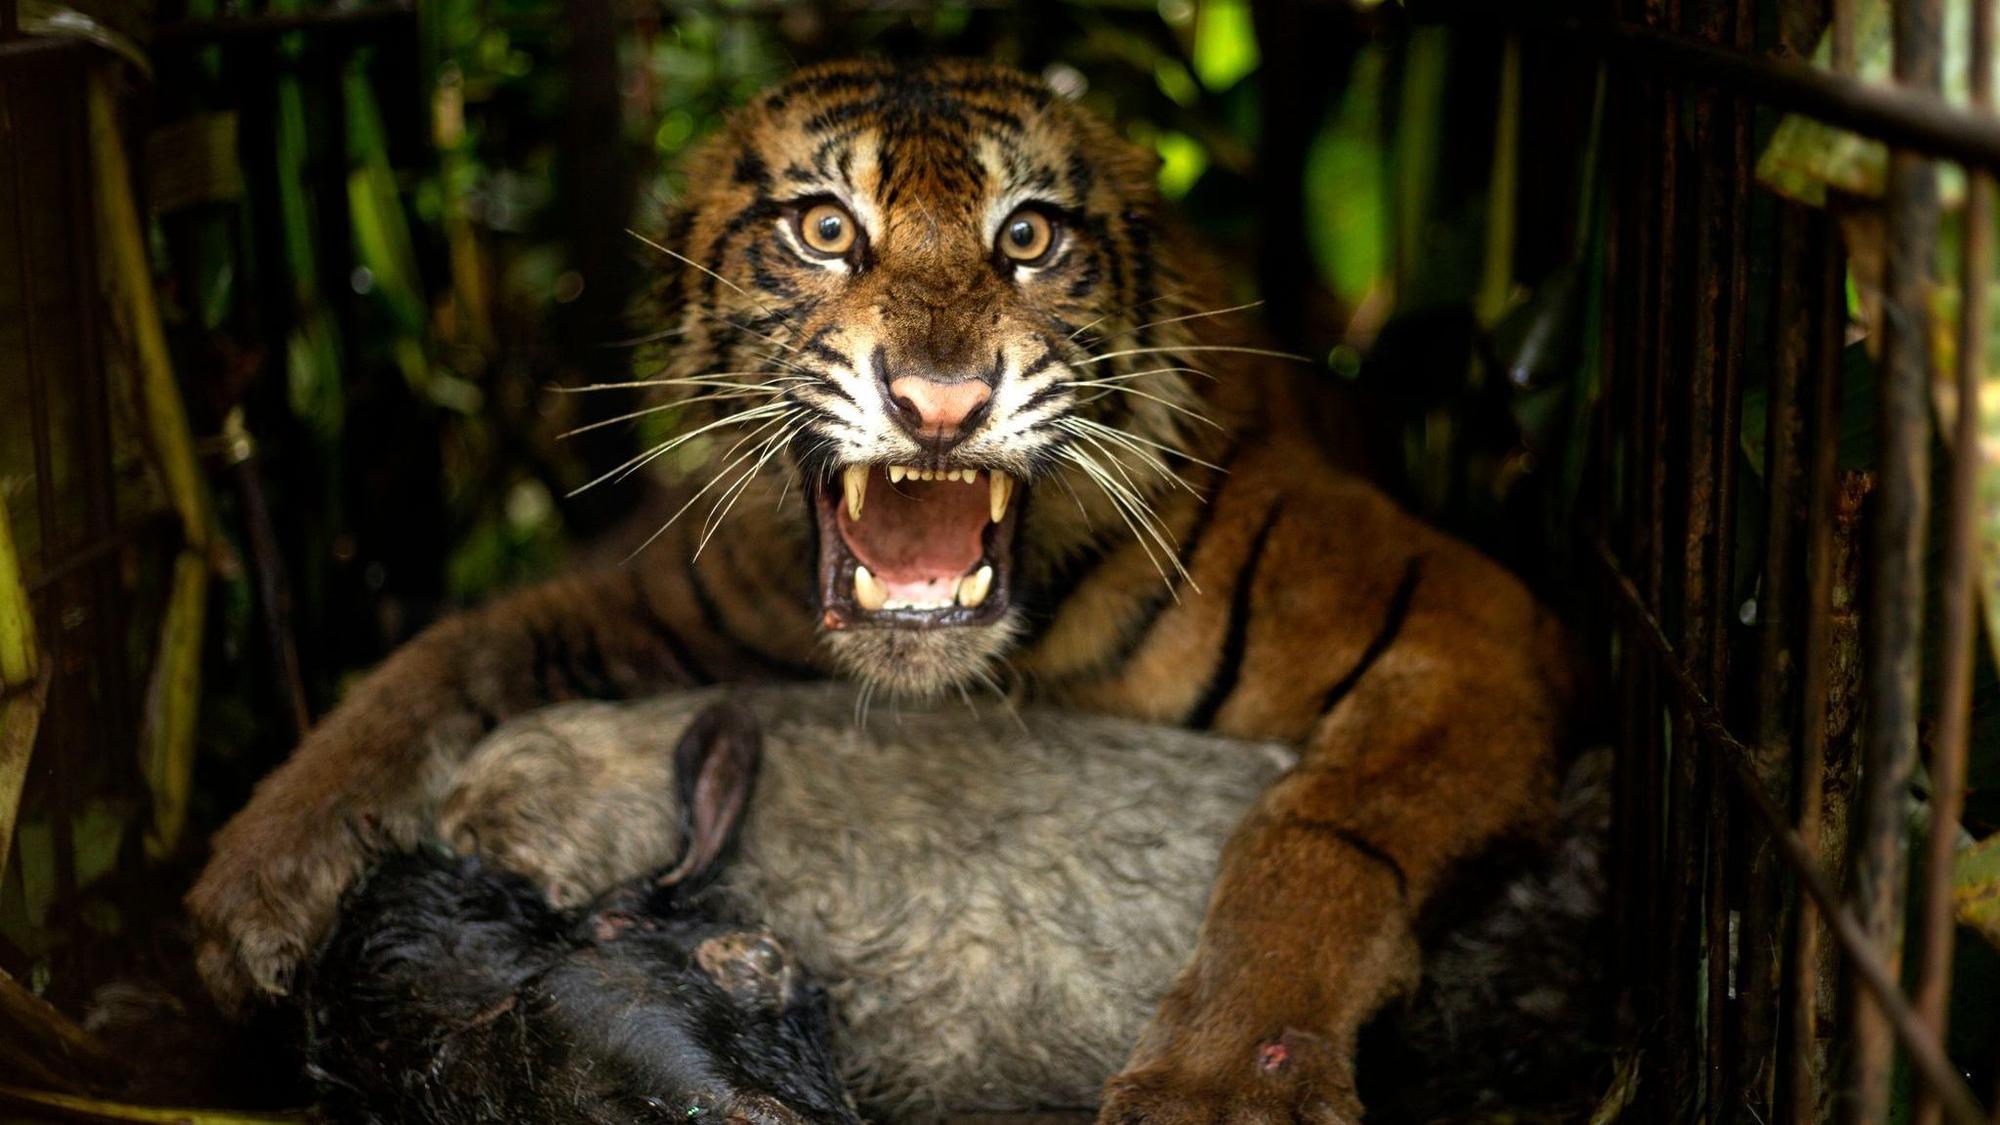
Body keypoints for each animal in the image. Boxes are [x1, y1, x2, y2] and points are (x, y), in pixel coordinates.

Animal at [186, 58, 1577, 1124]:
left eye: (1026, 237)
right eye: (824, 229)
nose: (940, 400)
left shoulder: (1459, 615)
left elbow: (1320, 838)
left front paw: (1229, 1083)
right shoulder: (666, 606)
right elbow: (444, 661)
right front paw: (258, 885)